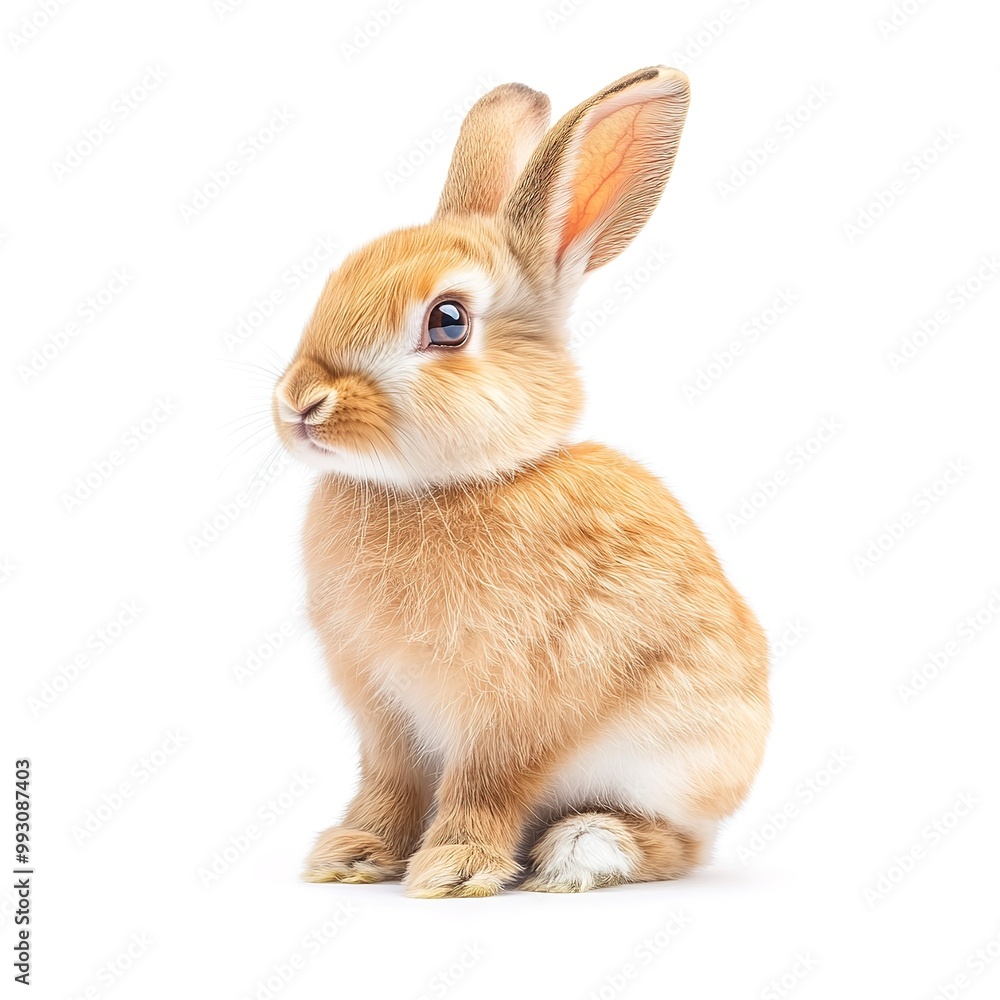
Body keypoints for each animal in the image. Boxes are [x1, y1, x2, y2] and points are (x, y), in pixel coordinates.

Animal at [272, 65, 770, 897]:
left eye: (447, 322)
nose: (299, 402)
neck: (447, 485)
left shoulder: (516, 705)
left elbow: (487, 784)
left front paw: (451, 869)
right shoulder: (383, 712)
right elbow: (389, 782)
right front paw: (353, 854)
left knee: (678, 845)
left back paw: (585, 849)